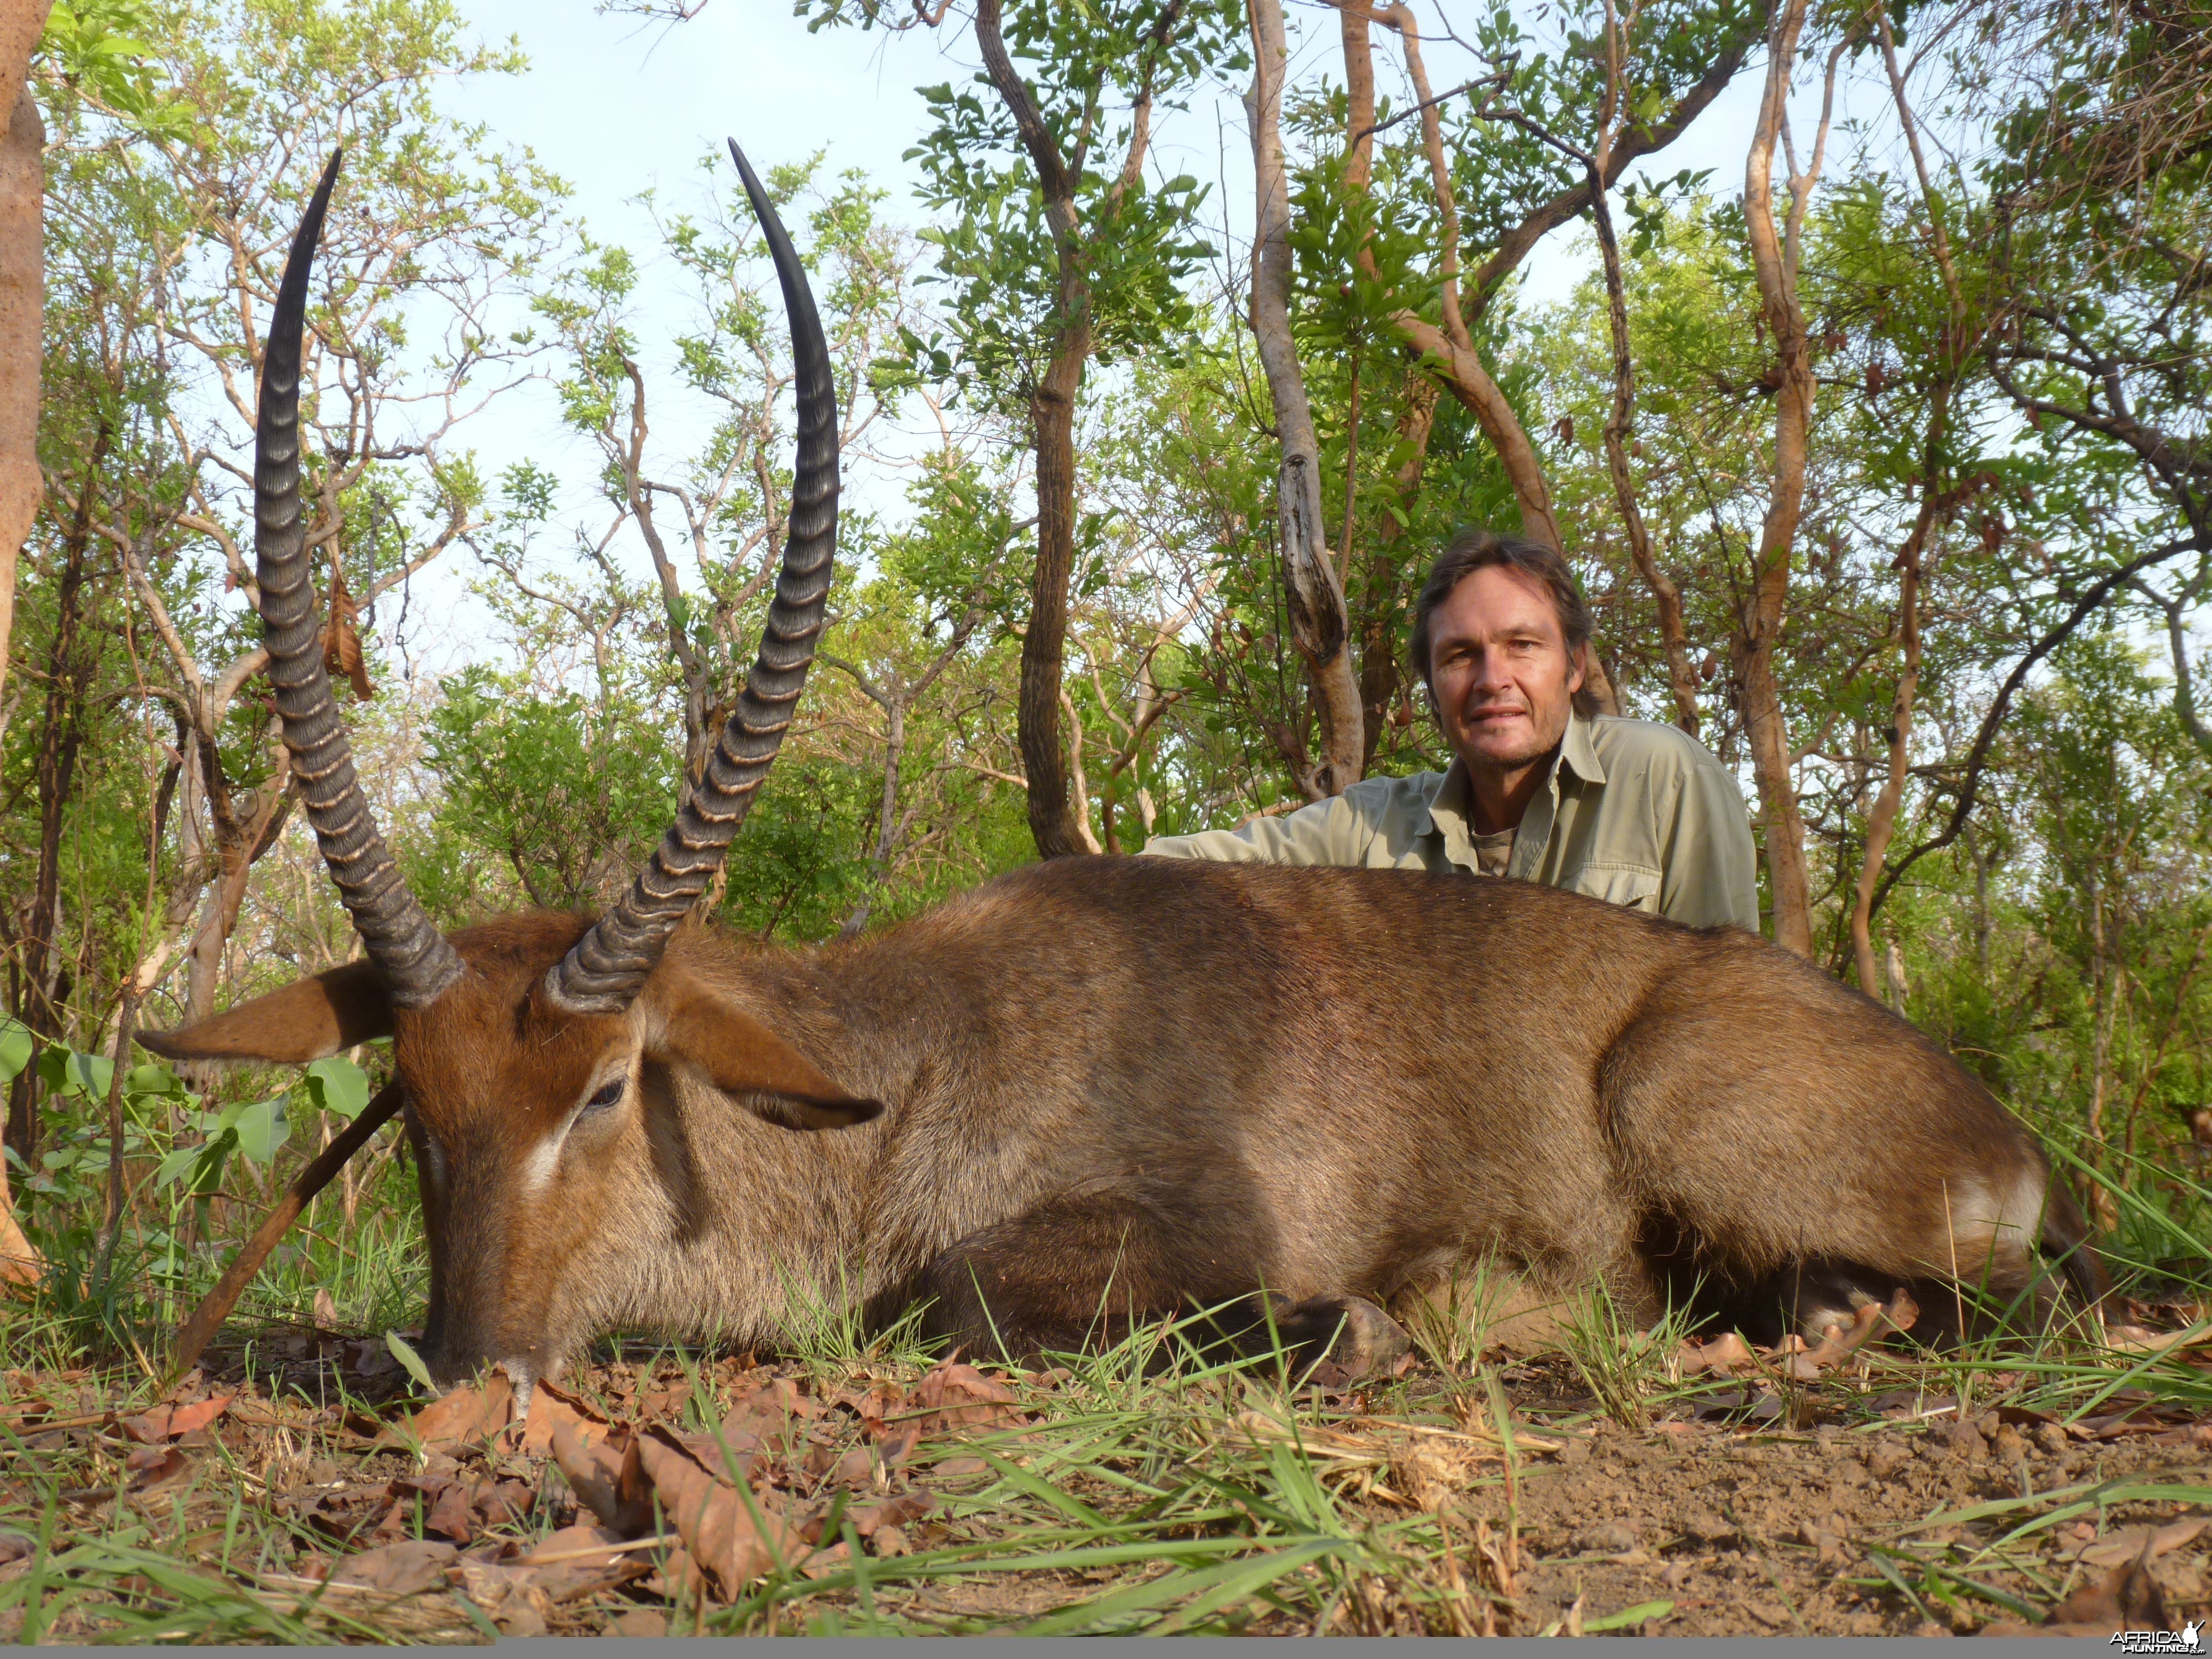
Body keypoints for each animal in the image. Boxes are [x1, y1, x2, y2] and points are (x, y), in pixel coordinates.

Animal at [147, 143, 2097, 1398]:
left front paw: (1359, 1328)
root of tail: (2001, 1129)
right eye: (415, 1101)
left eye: (609, 1088)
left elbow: (945, 1300)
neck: (917, 1065)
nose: (468, 1375)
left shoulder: (1184, 1217)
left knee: (2014, 1305)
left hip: (1678, 1093)